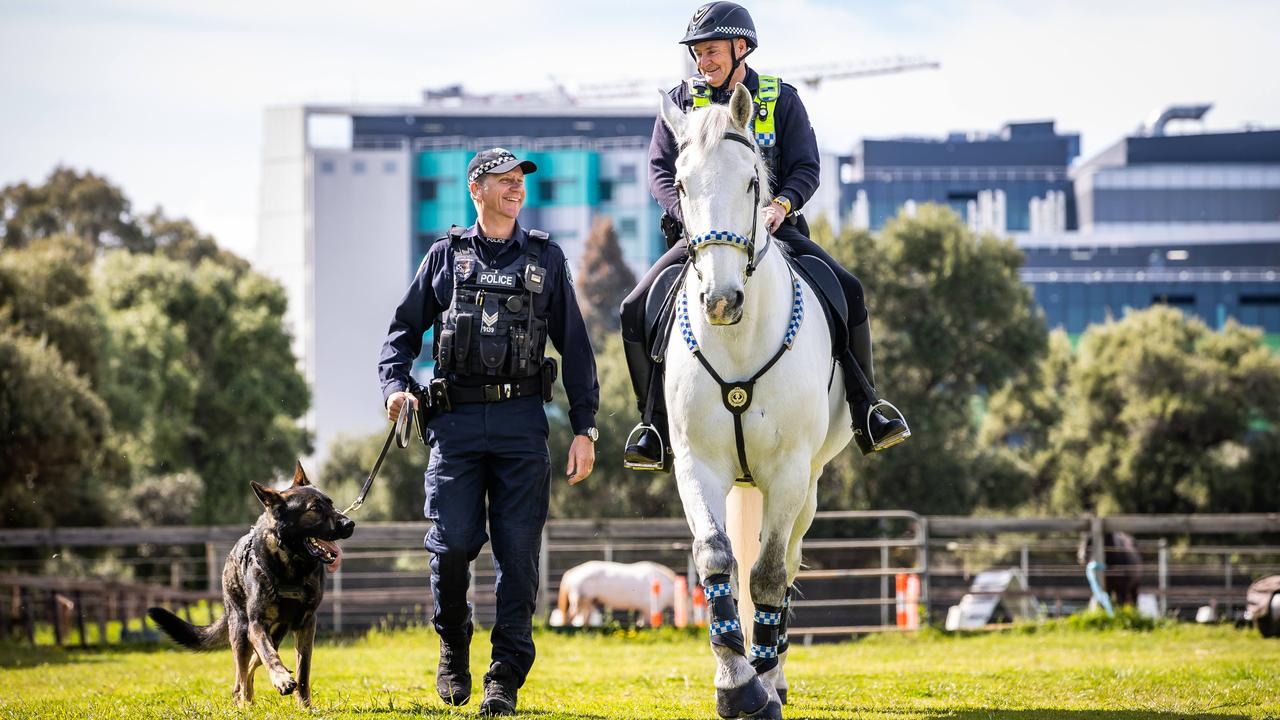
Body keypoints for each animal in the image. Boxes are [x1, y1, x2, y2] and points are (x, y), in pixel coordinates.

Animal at [147, 461, 353, 702]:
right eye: (315, 509)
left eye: (330, 503)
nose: (350, 524)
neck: (290, 568)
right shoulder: (256, 623)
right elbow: (267, 655)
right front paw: (281, 679)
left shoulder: (306, 624)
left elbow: (302, 671)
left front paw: (304, 704)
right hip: (241, 629)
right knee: (241, 676)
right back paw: (245, 701)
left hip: (276, 631)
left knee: (253, 664)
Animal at [660, 82, 849, 712]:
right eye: (682, 185)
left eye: (750, 183)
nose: (721, 300)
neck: (737, 340)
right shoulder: (697, 464)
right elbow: (717, 556)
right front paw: (735, 682)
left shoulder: (789, 469)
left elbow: (767, 574)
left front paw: (761, 684)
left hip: (808, 482)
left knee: (786, 563)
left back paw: (778, 676)